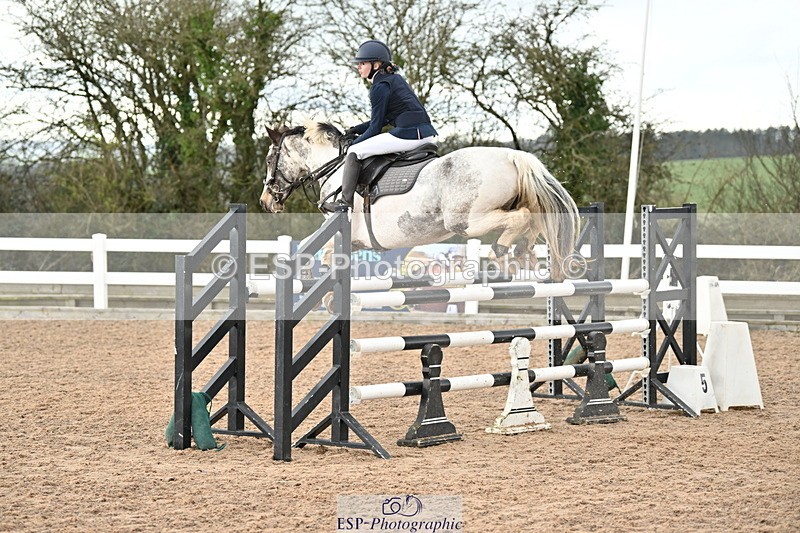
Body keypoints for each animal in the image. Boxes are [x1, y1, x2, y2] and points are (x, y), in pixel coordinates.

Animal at [259, 121, 580, 279]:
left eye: (269, 159)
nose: (266, 202)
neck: (335, 167)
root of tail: (513, 155)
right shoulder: (355, 240)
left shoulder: (343, 230)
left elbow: (320, 250)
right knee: (534, 218)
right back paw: (523, 253)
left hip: (466, 221)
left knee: (521, 218)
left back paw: (502, 253)